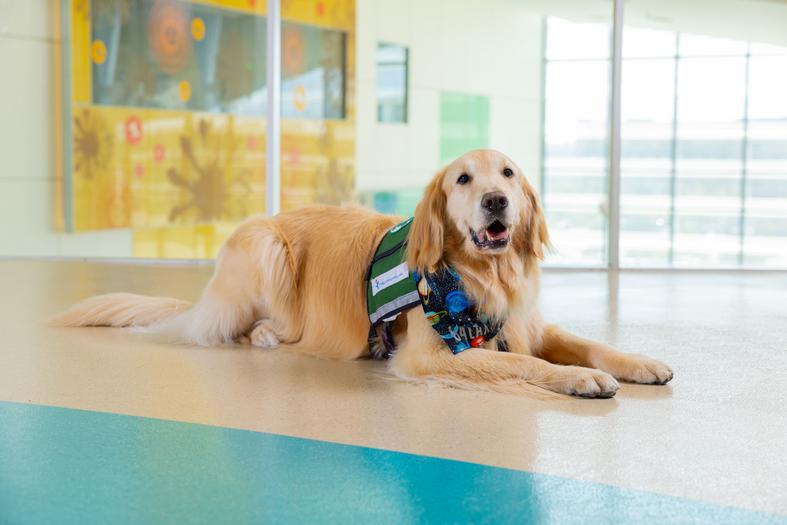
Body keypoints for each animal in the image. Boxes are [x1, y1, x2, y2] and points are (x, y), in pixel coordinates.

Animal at [53, 149, 672, 396]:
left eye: (508, 174)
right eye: (462, 180)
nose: (496, 201)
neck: (483, 275)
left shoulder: (528, 323)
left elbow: (589, 344)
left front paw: (639, 363)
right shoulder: (435, 353)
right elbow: (523, 364)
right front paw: (580, 380)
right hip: (264, 246)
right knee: (232, 329)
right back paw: (266, 334)